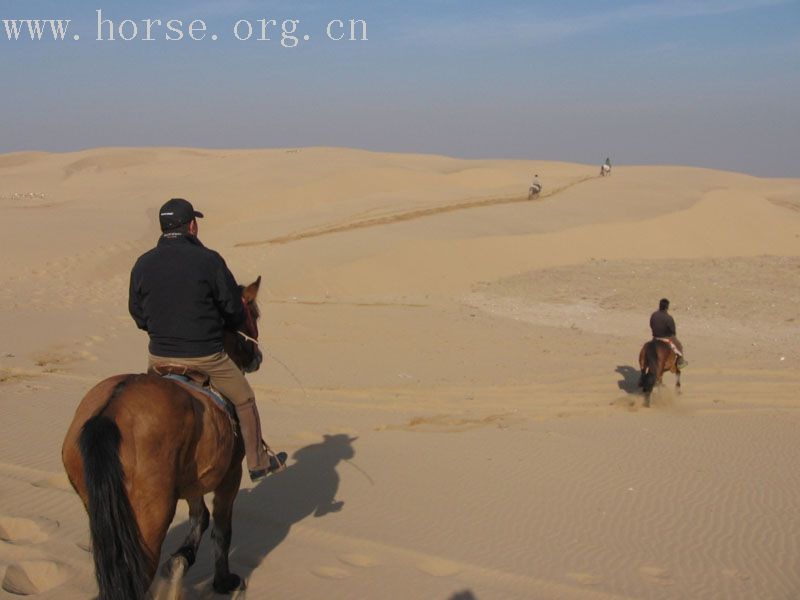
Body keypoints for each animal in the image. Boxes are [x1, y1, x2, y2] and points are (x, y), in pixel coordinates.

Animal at [63, 278, 262, 600]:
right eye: (253, 315)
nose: (257, 357)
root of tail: (109, 412)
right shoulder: (230, 475)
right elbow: (221, 529)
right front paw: (223, 581)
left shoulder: (194, 476)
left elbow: (200, 516)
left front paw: (181, 560)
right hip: (150, 517)